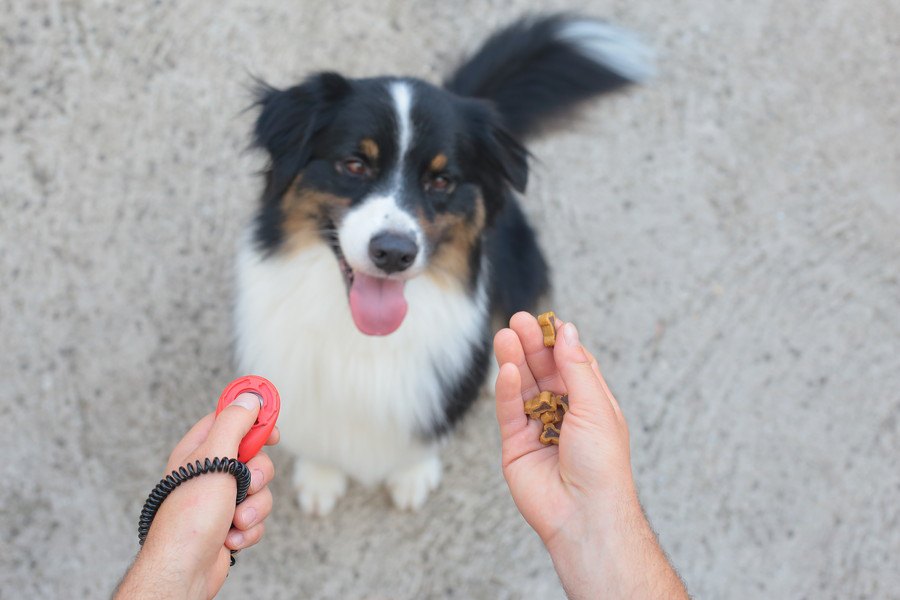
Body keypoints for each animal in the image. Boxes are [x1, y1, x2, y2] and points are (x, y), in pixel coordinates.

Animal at [236, 14, 652, 512]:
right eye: (354, 165)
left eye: (441, 180)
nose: (394, 253)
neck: (364, 339)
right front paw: (320, 476)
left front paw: (412, 473)